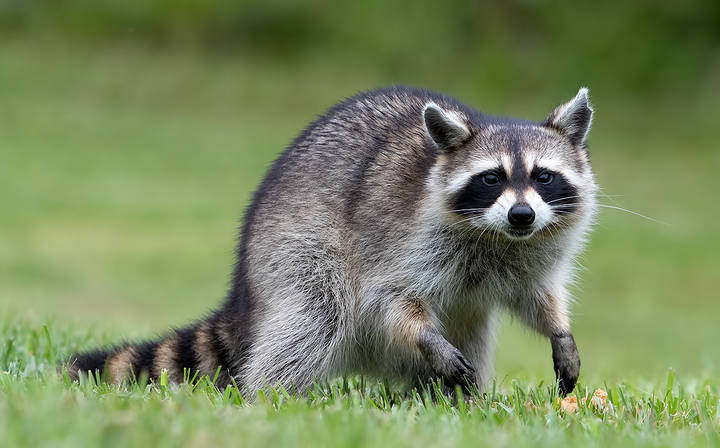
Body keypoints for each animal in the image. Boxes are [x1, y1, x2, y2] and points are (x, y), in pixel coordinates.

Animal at [67, 86, 596, 396]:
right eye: (491, 178)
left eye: (543, 176)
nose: (522, 214)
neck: (499, 237)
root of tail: (245, 290)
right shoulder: (401, 240)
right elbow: (391, 301)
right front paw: (427, 337)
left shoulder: (532, 253)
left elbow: (537, 296)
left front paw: (560, 330)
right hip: (293, 247)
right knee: (316, 313)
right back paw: (272, 394)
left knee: (471, 326)